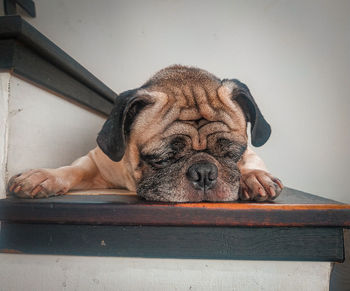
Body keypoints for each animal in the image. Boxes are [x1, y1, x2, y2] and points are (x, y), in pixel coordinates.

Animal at [6, 65, 284, 203]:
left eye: (232, 154)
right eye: (161, 160)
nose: (204, 172)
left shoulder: (250, 153)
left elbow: (250, 165)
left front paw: (254, 178)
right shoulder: (96, 163)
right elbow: (73, 170)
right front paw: (44, 177)